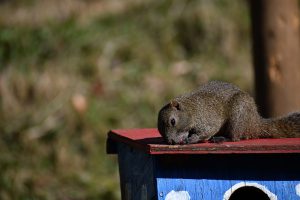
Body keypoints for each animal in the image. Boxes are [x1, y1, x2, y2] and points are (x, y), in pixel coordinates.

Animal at [157, 80, 300, 145]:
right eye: (160, 131)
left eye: (173, 121)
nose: (171, 141)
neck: (191, 109)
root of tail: (255, 123)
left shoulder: (208, 117)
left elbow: (208, 131)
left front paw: (193, 139)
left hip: (238, 114)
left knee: (236, 137)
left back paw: (222, 138)